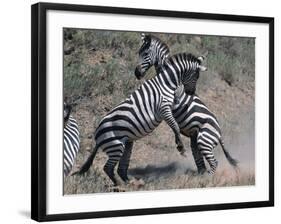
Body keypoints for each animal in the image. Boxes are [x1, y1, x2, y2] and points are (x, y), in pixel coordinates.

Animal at [74, 52, 206, 186]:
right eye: (197, 76)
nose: (191, 93)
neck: (166, 83)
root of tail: (97, 135)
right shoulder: (164, 108)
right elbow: (175, 126)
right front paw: (181, 147)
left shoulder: (169, 106)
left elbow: (175, 117)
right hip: (116, 146)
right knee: (108, 168)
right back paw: (120, 185)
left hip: (126, 143)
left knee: (121, 168)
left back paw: (129, 182)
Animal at [133, 33, 236, 174]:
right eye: (139, 52)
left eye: (146, 53)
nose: (137, 73)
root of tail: (220, 133)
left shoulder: (173, 101)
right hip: (196, 139)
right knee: (199, 159)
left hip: (204, 140)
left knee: (213, 162)